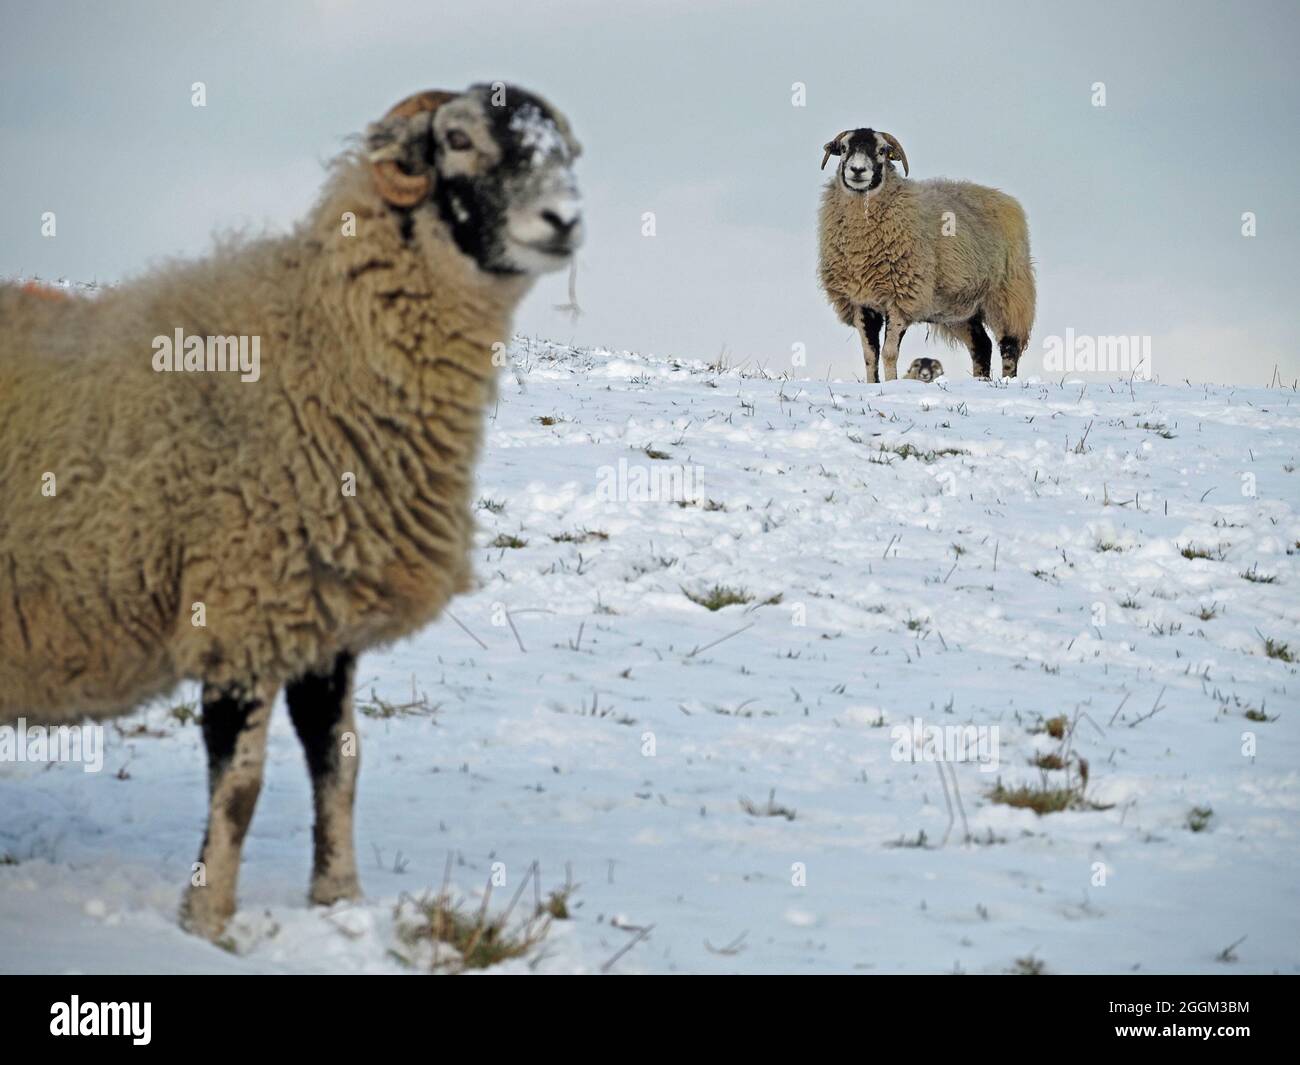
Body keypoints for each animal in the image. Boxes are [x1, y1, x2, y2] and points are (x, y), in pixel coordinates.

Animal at [0, 83, 587, 941]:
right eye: (458, 139)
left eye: (564, 150)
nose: (566, 219)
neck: (319, 348)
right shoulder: (241, 605)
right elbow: (241, 785)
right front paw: (207, 921)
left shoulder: (320, 613)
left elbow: (340, 760)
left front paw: (339, 898)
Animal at [811, 128, 1034, 382]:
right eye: (844, 148)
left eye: (882, 150)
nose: (857, 170)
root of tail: (1004, 198)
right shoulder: (861, 302)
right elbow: (870, 354)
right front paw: (873, 384)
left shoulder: (901, 299)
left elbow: (888, 353)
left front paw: (891, 384)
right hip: (959, 310)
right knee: (981, 345)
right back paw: (981, 381)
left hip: (1009, 294)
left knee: (1009, 345)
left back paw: (1008, 379)